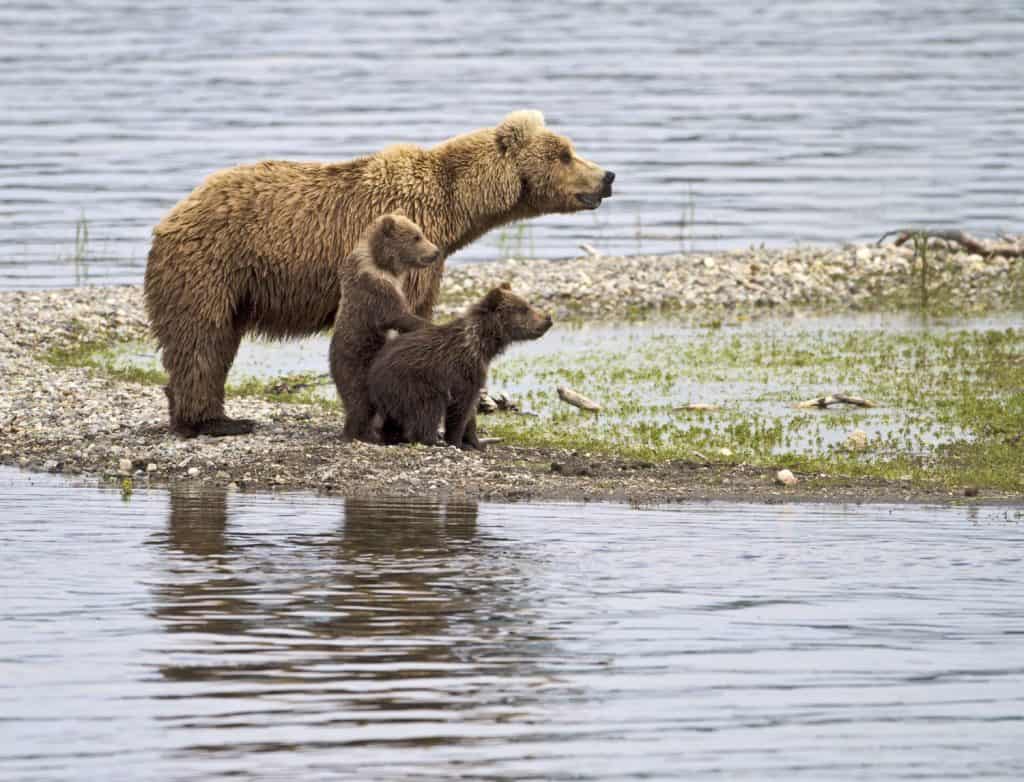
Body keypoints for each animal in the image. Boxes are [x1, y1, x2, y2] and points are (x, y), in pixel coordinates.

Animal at [329, 212, 441, 442]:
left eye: (421, 233)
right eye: (416, 237)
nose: (435, 252)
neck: (382, 262)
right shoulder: (374, 285)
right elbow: (396, 314)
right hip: (358, 363)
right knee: (360, 401)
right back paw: (365, 433)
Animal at [366, 284, 552, 450]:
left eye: (528, 304)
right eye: (524, 308)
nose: (548, 319)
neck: (483, 344)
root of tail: (374, 372)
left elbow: (471, 412)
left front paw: (475, 442)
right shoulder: (463, 371)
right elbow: (460, 409)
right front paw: (456, 441)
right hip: (414, 384)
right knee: (428, 410)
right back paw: (431, 440)